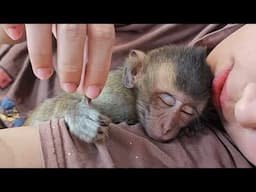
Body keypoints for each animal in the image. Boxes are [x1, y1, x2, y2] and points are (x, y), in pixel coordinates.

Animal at [25, 45, 214, 143]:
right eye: (166, 99)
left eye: (188, 112)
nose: (167, 127)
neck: (134, 97)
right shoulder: (116, 99)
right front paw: (77, 113)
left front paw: (191, 127)